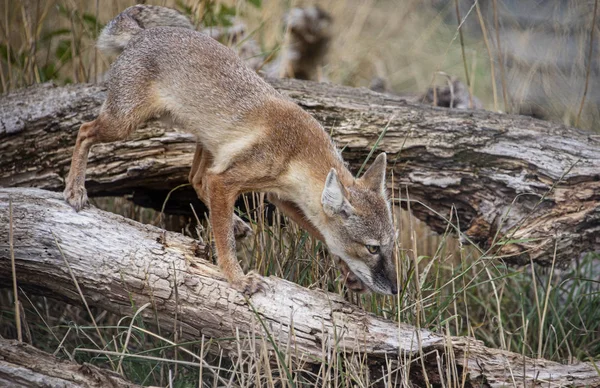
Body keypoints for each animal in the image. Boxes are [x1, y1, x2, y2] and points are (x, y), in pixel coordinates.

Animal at [64, 4, 398, 296]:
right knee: (84, 131)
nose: (395, 290)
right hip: (125, 124)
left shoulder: (281, 197)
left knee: (195, 178)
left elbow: (321, 232)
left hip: (207, 144)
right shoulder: (226, 181)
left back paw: (234, 221)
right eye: (372, 248)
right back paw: (75, 189)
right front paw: (237, 278)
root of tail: (142, 34)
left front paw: (348, 272)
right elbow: (225, 243)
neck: (297, 151)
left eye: (391, 245)